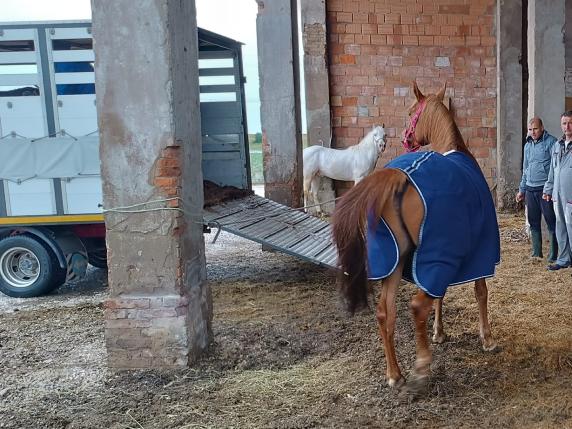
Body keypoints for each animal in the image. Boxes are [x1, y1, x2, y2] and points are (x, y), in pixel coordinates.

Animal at [330, 80, 500, 394]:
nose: (405, 139)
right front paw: (487, 339)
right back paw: (421, 369)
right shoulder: (473, 252)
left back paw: (394, 374)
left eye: (411, 112)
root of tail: (398, 176)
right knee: (417, 306)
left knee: (385, 312)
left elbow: (442, 296)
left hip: (395, 262)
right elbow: (480, 292)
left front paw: (439, 333)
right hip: (433, 257)